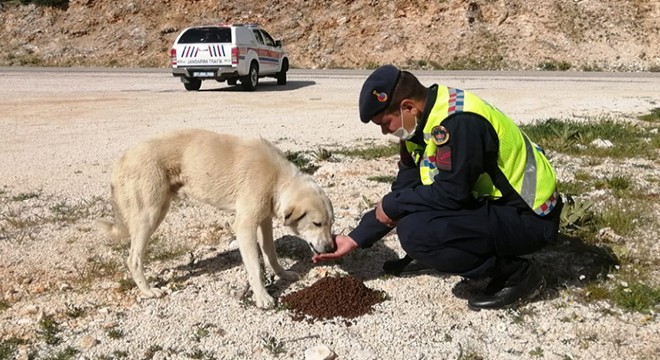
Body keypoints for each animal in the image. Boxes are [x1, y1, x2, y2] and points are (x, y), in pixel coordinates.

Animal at [96, 128, 336, 308]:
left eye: (331, 224)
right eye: (317, 223)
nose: (331, 248)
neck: (278, 179)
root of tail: (122, 159)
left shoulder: (264, 221)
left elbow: (271, 255)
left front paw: (283, 274)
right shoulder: (245, 227)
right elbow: (255, 268)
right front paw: (262, 297)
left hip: (159, 209)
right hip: (150, 215)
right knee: (133, 259)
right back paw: (148, 291)